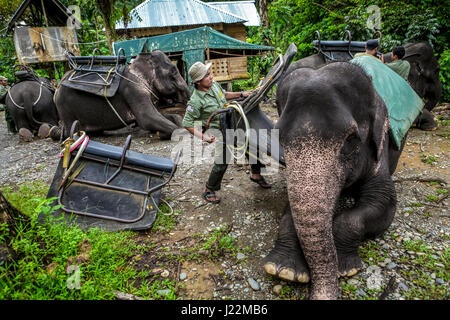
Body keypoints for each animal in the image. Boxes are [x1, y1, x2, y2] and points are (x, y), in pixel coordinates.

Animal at [53, 50, 191, 140]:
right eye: (173, 71)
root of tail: (57, 87)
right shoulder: (133, 89)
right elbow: (146, 118)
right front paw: (161, 133)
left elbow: (161, 115)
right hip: (65, 108)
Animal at [264, 62, 404, 300]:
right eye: (280, 139)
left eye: (350, 140)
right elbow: (290, 202)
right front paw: (284, 271)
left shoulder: (380, 150)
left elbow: (384, 201)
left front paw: (344, 269)